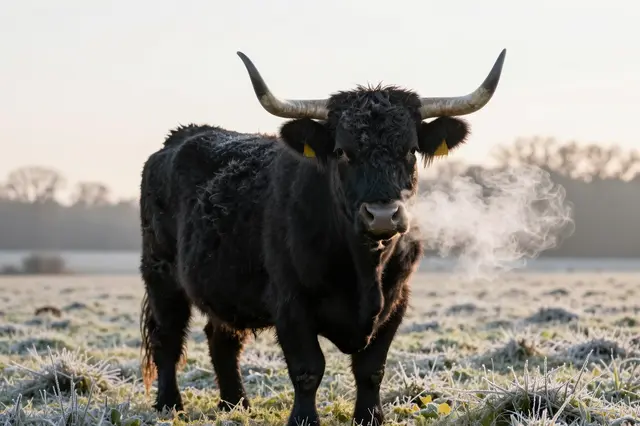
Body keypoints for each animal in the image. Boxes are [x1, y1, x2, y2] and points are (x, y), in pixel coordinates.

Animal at [139, 49, 506, 426]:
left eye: (410, 150)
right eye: (343, 151)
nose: (383, 215)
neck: (363, 268)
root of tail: (181, 136)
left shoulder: (396, 302)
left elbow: (371, 369)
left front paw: (370, 417)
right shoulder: (290, 304)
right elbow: (308, 369)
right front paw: (303, 419)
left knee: (221, 340)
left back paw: (235, 404)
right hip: (161, 275)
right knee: (168, 338)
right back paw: (170, 405)